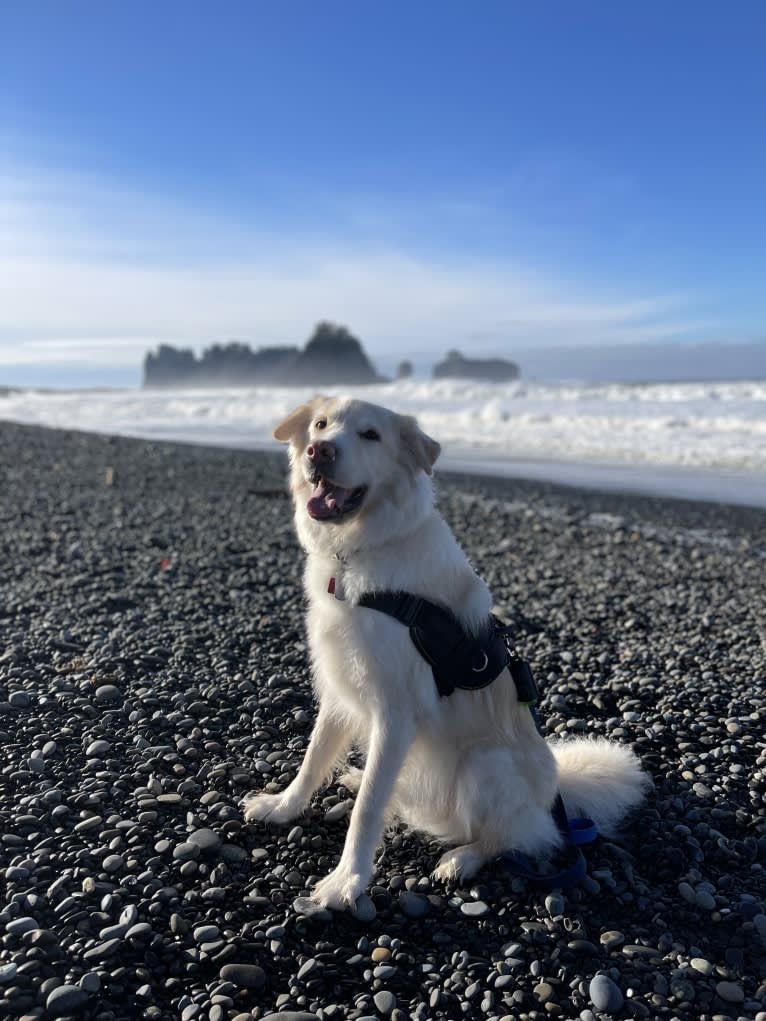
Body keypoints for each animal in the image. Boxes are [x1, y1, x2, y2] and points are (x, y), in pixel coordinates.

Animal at [243, 398, 649, 910]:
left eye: (371, 435)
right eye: (320, 425)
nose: (320, 450)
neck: (360, 551)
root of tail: (553, 796)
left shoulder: (397, 712)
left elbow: (368, 808)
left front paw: (346, 881)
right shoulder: (340, 690)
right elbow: (314, 758)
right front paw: (283, 806)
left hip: (487, 765)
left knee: (516, 838)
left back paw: (463, 859)